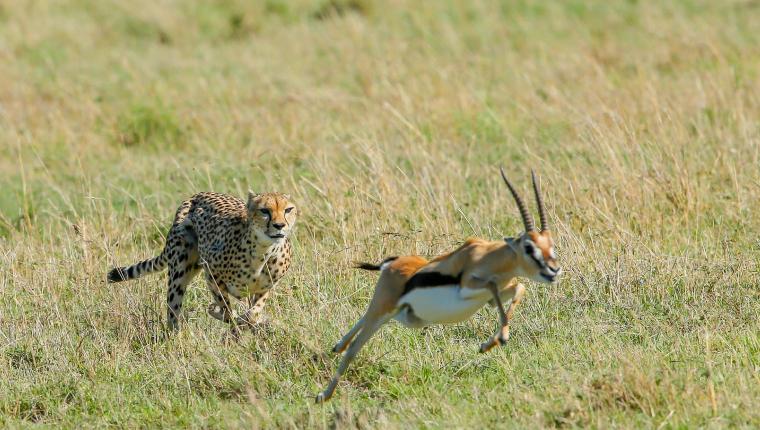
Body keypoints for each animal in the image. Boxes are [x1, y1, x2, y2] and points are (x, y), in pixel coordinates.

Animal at [107, 191, 296, 332]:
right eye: (265, 210)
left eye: (288, 210)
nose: (280, 225)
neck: (263, 251)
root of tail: (195, 196)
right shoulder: (211, 274)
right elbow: (227, 310)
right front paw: (228, 319)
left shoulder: (264, 288)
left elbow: (253, 313)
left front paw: (251, 322)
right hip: (180, 270)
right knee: (173, 309)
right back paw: (174, 339)